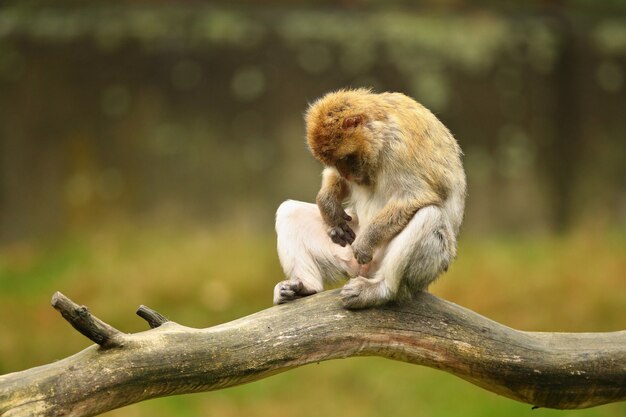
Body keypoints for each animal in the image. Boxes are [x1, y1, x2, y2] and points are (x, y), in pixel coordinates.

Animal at [272, 88, 464, 308]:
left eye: (345, 158)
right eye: (334, 162)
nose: (347, 174)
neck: (380, 133)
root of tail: (363, 271)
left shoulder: (400, 147)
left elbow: (415, 195)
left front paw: (366, 243)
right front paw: (329, 205)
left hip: (428, 267)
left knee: (429, 214)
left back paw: (381, 289)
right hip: (345, 254)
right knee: (289, 211)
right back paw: (305, 286)